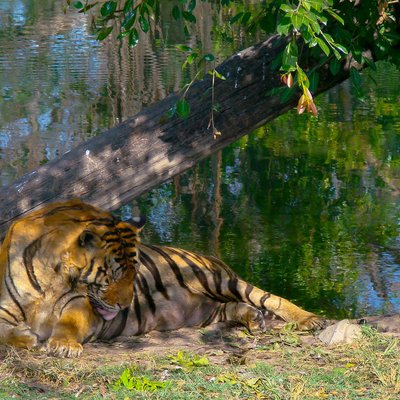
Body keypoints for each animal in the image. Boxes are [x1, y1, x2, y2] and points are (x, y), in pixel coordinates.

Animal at [0, 198, 145, 358]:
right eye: (112, 277)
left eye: (135, 274)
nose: (124, 306)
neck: (54, 274)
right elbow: (3, 331)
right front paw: (28, 337)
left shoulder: (78, 300)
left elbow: (71, 322)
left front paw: (65, 345)